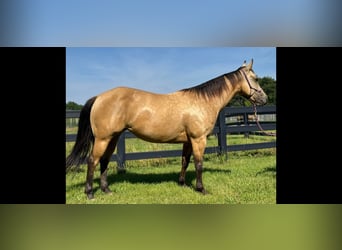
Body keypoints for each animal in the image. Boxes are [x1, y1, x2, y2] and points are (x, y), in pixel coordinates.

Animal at [66, 58, 268, 199]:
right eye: (256, 78)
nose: (264, 99)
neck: (202, 102)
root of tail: (99, 97)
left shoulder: (188, 140)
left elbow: (185, 161)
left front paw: (182, 183)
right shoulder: (198, 139)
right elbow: (199, 163)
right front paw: (201, 189)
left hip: (113, 138)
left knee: (105, 161)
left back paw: (106, 189)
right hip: (103, 138)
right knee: (92, 161)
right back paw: (90, 193)